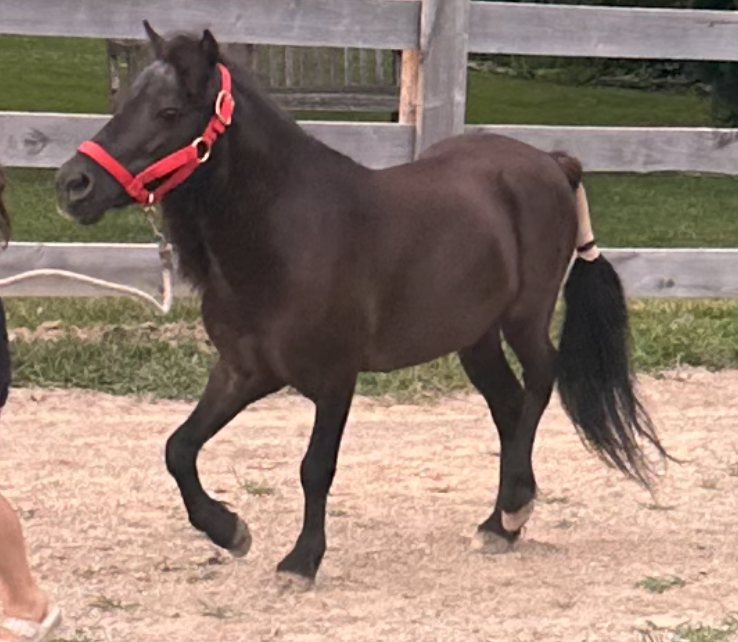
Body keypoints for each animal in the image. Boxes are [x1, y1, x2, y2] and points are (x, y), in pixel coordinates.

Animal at [55, 22, 667, 581]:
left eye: (169, 110)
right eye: (125, 101)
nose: (72, 185)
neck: (283, 236)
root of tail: (552, 162)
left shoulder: (335, 378)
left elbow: (315, 467)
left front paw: (301, 561)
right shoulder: (244, 370)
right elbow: (178, 448)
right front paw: (230, 531)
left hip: (525, 317)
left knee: (540, 381)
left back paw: (512, 512)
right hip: (475, 337)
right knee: (509, 407)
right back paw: (500, 523)